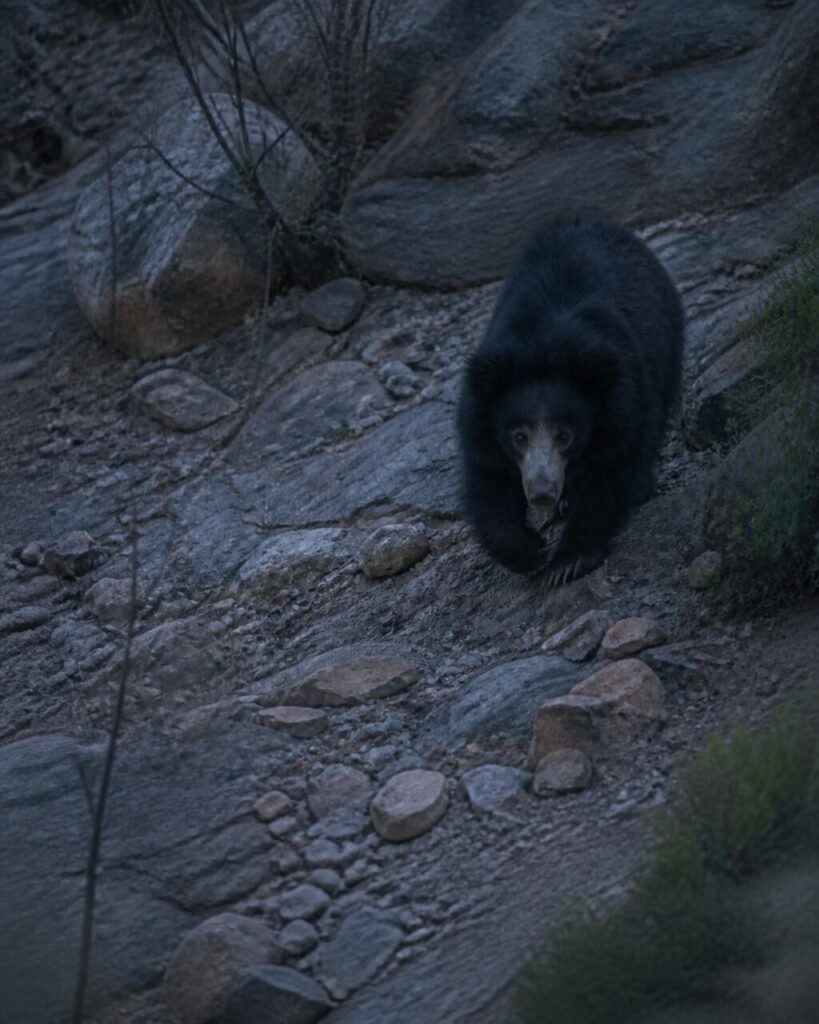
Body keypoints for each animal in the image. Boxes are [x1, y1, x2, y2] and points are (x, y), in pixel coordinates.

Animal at [457, 220, 684, 586]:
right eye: (519, 436)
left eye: (564, 435)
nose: (542, 492)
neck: (543, 346)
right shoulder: (481, 421)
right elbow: (488, 482)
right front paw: (529, 553)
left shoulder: (622, 405)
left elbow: (612, 471)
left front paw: (567, 563)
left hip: (666, 345)